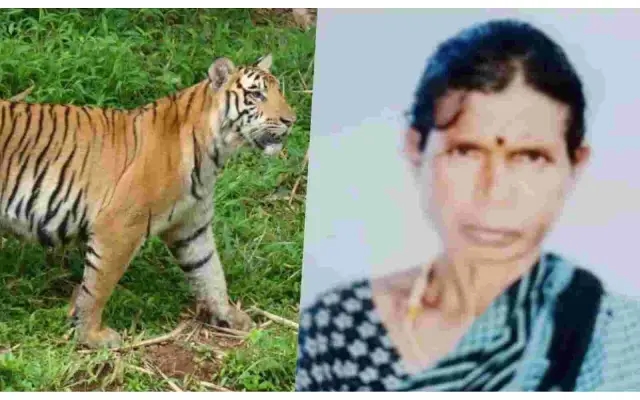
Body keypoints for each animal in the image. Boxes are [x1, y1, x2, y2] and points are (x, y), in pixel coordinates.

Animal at [0, 53, 296, 348]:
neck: (214, 154)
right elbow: (98, 286)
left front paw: (229, 315)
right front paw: (91, 335)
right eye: (256, 94)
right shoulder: (119, 228)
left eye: (279, 91)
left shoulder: (192, 227)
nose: (291, 120)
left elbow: (210, 272)